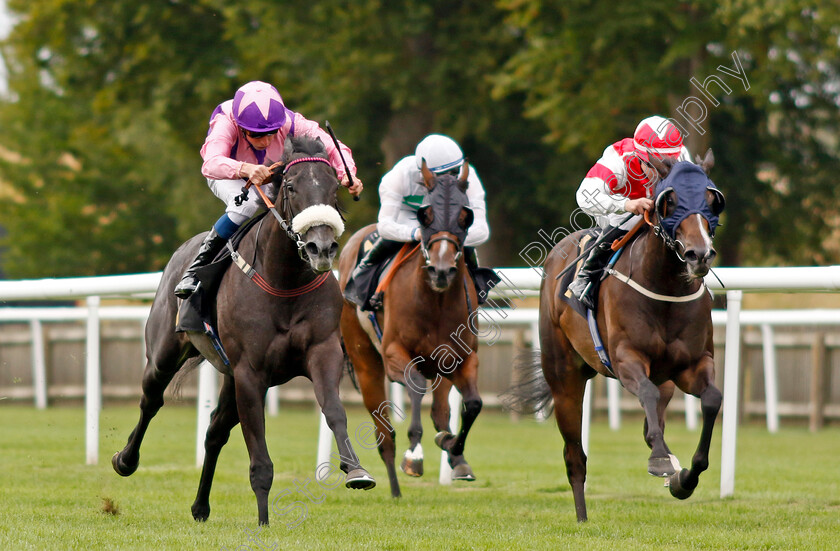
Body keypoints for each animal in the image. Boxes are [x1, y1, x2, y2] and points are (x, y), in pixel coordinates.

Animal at [111, 135, 374, 528]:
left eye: (333, 189)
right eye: (291, 186)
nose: (322, 248)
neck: (284, 281)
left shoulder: (322, 352)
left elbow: (334, 410)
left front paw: (356, 470)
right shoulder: (251, 372)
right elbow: (259, 455)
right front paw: (263, 521)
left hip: (229, 376)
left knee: (215, 432)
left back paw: (200, 507)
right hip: (164, 354)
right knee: (151, 400)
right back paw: (125, 460)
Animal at [338, 161, 482, 500]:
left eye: (465, 216)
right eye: (424, 216)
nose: (441, 271)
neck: (435, 302)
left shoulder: (463, 357)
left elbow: (472, 404)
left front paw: (454, 448)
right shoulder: (394, 354)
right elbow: (415, 385)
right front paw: (414, 453)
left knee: (440, 410)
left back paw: (451, 452)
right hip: (365, 361)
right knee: (384, 433)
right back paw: (390, 486)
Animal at [502, 150, 724, 520]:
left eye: (710, 199)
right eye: (670, 200)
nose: (699, 254)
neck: (664, 286)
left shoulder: (692, 364)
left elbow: (711, 400)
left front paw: (684, 478)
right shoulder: (626, 360)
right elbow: (645, 392)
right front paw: (662, 461)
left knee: (653, 419)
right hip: (564, 378)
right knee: (574, 456)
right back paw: (582, 516)